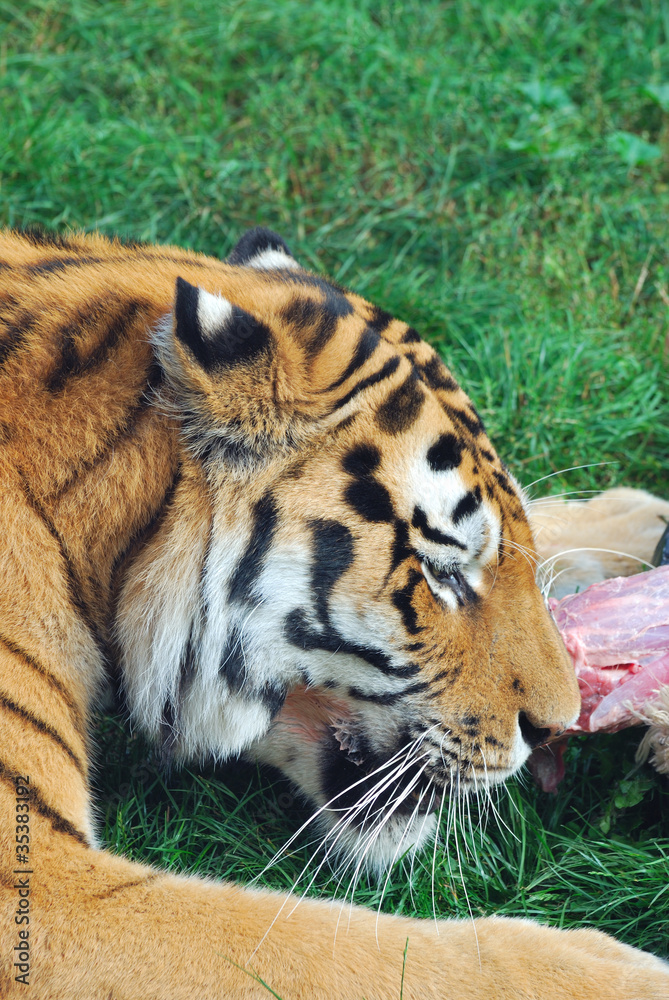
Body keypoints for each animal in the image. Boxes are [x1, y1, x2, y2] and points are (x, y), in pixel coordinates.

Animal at [0, 225, 667, 999]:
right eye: (441, 574)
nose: (554, 727)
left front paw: (636, 523)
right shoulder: (47, 889)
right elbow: (346, 951)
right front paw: (622, 975)